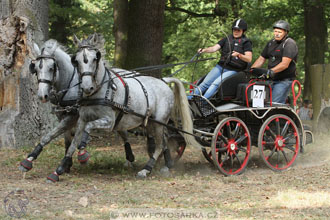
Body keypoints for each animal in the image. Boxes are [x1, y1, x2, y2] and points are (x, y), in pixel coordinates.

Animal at [45, 34, 201, 182]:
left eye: (95, 58)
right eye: (75, 60)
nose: (87, 87)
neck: (99, 91)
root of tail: (164, 81)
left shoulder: (109, 122)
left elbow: (88, 129)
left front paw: (83, 153)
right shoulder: (82, 119)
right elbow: (73, 143)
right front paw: (59, 170)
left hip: (159, 121)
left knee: (160, 144)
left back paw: (146, 169)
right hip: (151, 122)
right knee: (163, 140)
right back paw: (166, 165)